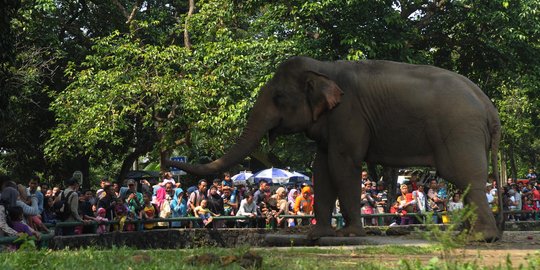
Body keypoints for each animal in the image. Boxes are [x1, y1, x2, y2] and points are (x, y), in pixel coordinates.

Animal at [165, 56, 502, 242]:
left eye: (278, 97)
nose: (169, 161)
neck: (324, 68)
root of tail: (489, 107)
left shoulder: (348, 115)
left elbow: (343, 164)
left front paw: (349, 234)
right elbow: (321, 168)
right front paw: (317, 235)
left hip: (460, 131)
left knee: (465, 177)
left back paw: (480, 237)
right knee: (465, 181)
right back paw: (467, 234)